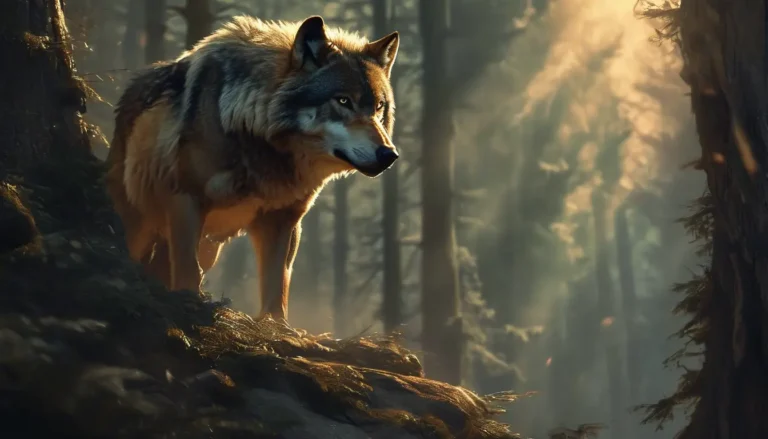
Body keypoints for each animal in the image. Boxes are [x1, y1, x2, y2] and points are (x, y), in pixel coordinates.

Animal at [105, 15, 400, 321]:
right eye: (343, 100)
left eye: (379, 107)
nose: (389, 154)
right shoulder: (185, 199)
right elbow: (188, 272)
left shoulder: (283, 219)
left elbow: (276, 286)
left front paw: (277, 325)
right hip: (140, 224)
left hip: (210, 247)